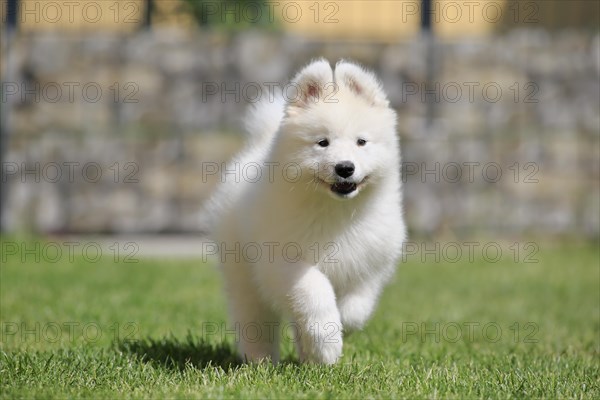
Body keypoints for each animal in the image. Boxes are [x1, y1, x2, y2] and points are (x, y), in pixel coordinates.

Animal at [204, 60, 406, 366]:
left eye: (361, 142)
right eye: (323, 143)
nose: (345, 167)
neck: (335, 210)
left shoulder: (371, 258)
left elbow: (358, 304)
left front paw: (338, 328)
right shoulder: (283, 260)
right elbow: (315, 291)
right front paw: (328, 341)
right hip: (242, 272)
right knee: (254, 318)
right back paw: (261, 360)